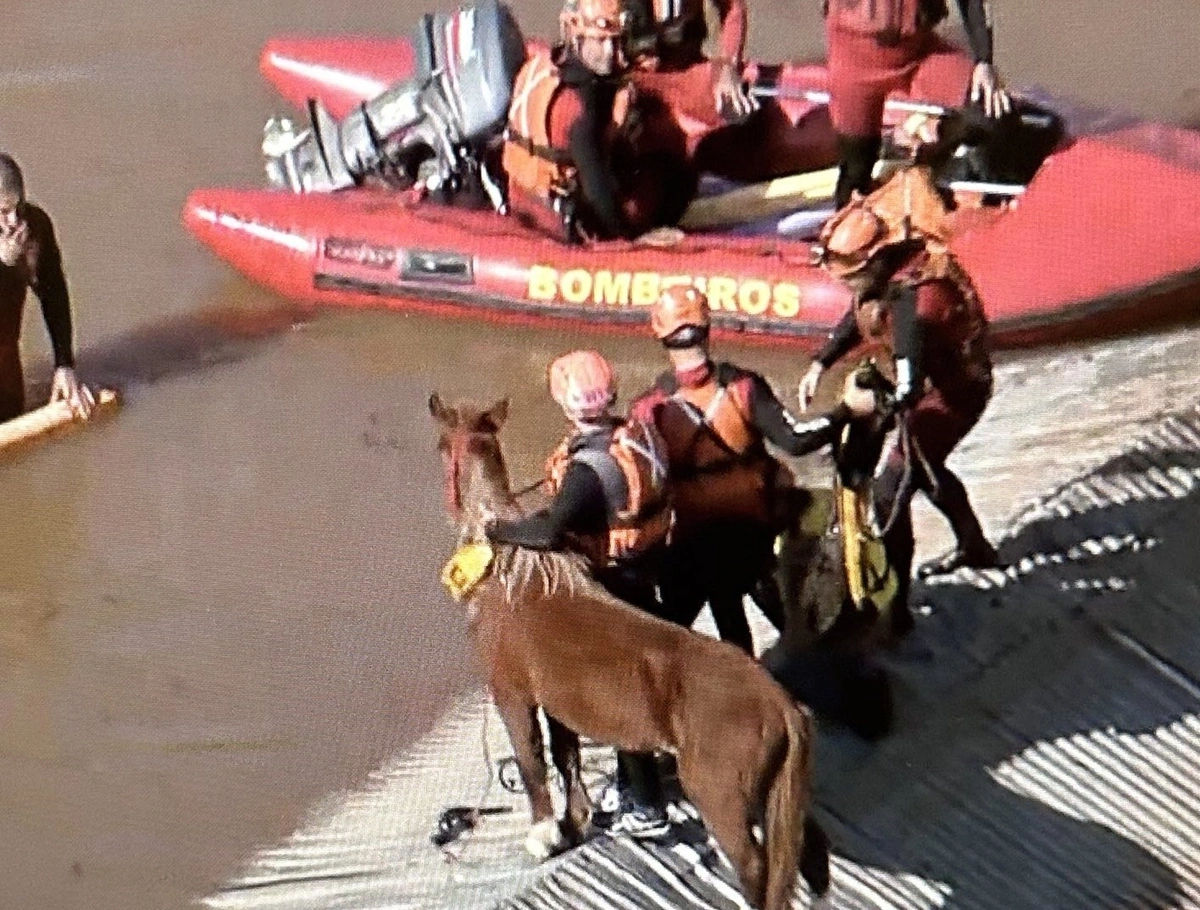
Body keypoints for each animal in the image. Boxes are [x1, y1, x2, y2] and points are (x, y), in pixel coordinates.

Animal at [432, 396, 835, 910]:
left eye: (442, 445)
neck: (507, 572)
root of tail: (783, 706)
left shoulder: (511, 692)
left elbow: (531, 759)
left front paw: (544, 834)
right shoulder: (558, 703)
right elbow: (566, 756)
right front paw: (576, 821)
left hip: (722, 799)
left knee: (756, 869)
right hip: (778, 797)